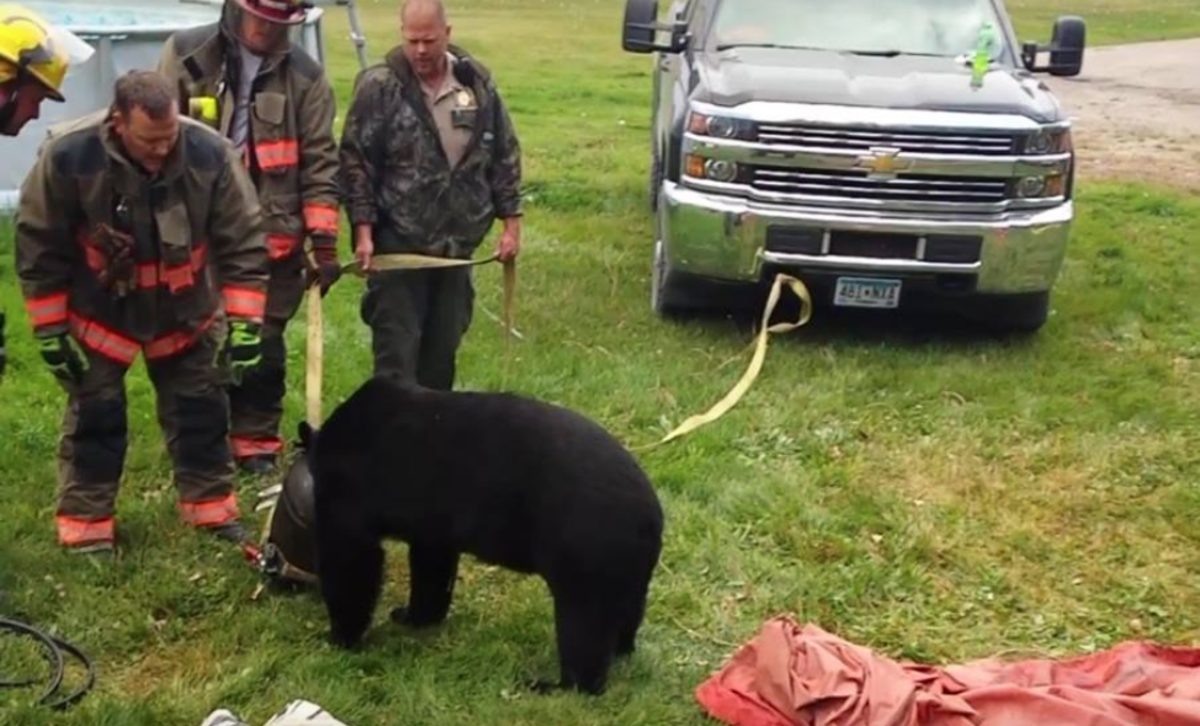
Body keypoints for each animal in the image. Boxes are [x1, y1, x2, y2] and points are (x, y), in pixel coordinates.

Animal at [302, 375, 665, 695]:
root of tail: (652, 516)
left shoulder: (348, 497)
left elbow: (351, 561)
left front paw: (337, 638)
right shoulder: (434, 526)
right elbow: (432, 566)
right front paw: (413, 617)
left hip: (586, 557)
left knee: (584, 631)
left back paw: (551, 685)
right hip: (623, 571)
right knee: (626, 614)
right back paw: (621, 651)